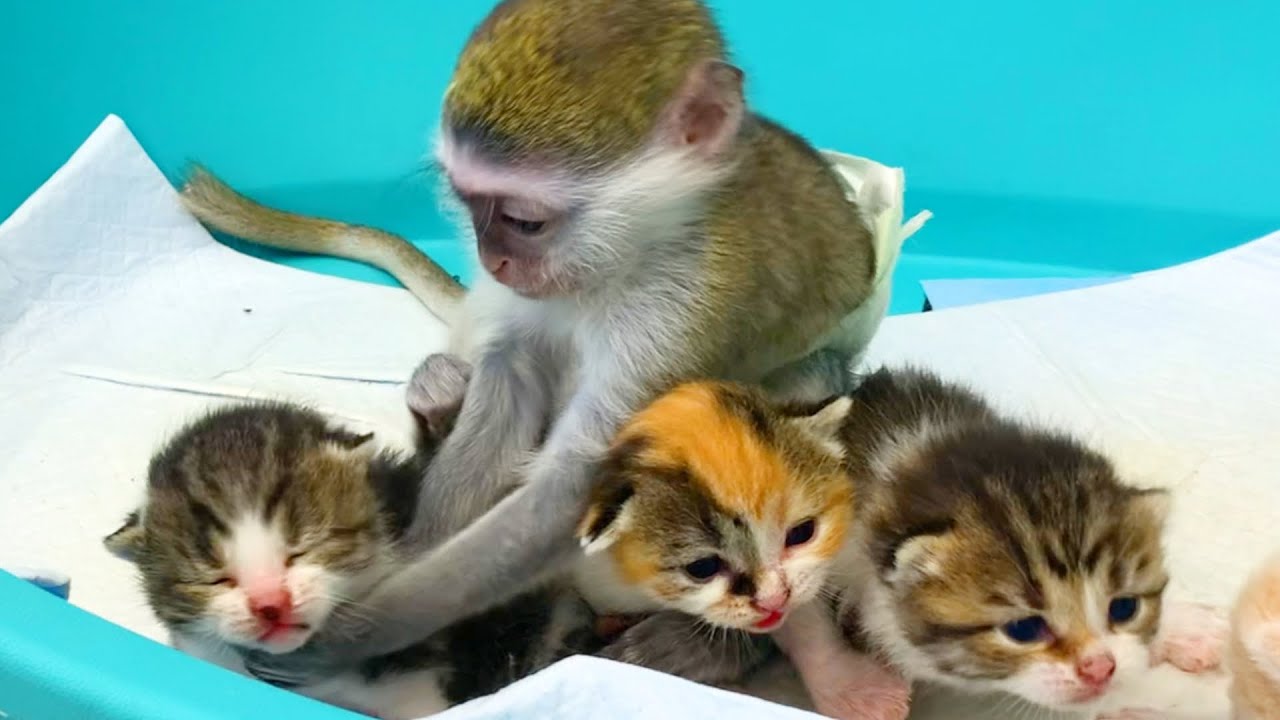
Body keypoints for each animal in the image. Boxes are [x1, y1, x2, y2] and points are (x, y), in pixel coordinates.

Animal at [183, 0, 900, 685]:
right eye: (470, 205)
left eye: (523, 220)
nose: (491, 258)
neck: (623, 257)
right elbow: (510, 383)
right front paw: (406, 553)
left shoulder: (682, 305)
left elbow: (574, 488)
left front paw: (353, 632)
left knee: (808, 379)